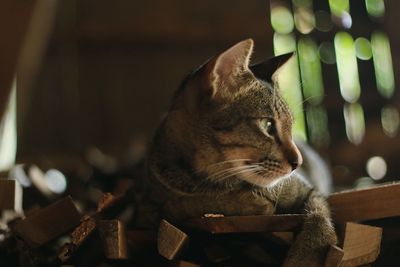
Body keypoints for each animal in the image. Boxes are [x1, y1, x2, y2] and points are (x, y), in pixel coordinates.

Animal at [145, 38, 336, 266]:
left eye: (291, 128)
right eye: (268, 126)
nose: (298, 162)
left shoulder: (310, 191)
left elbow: (319, 217)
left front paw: (307, 255)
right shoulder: (148, 210)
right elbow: (181, 205)